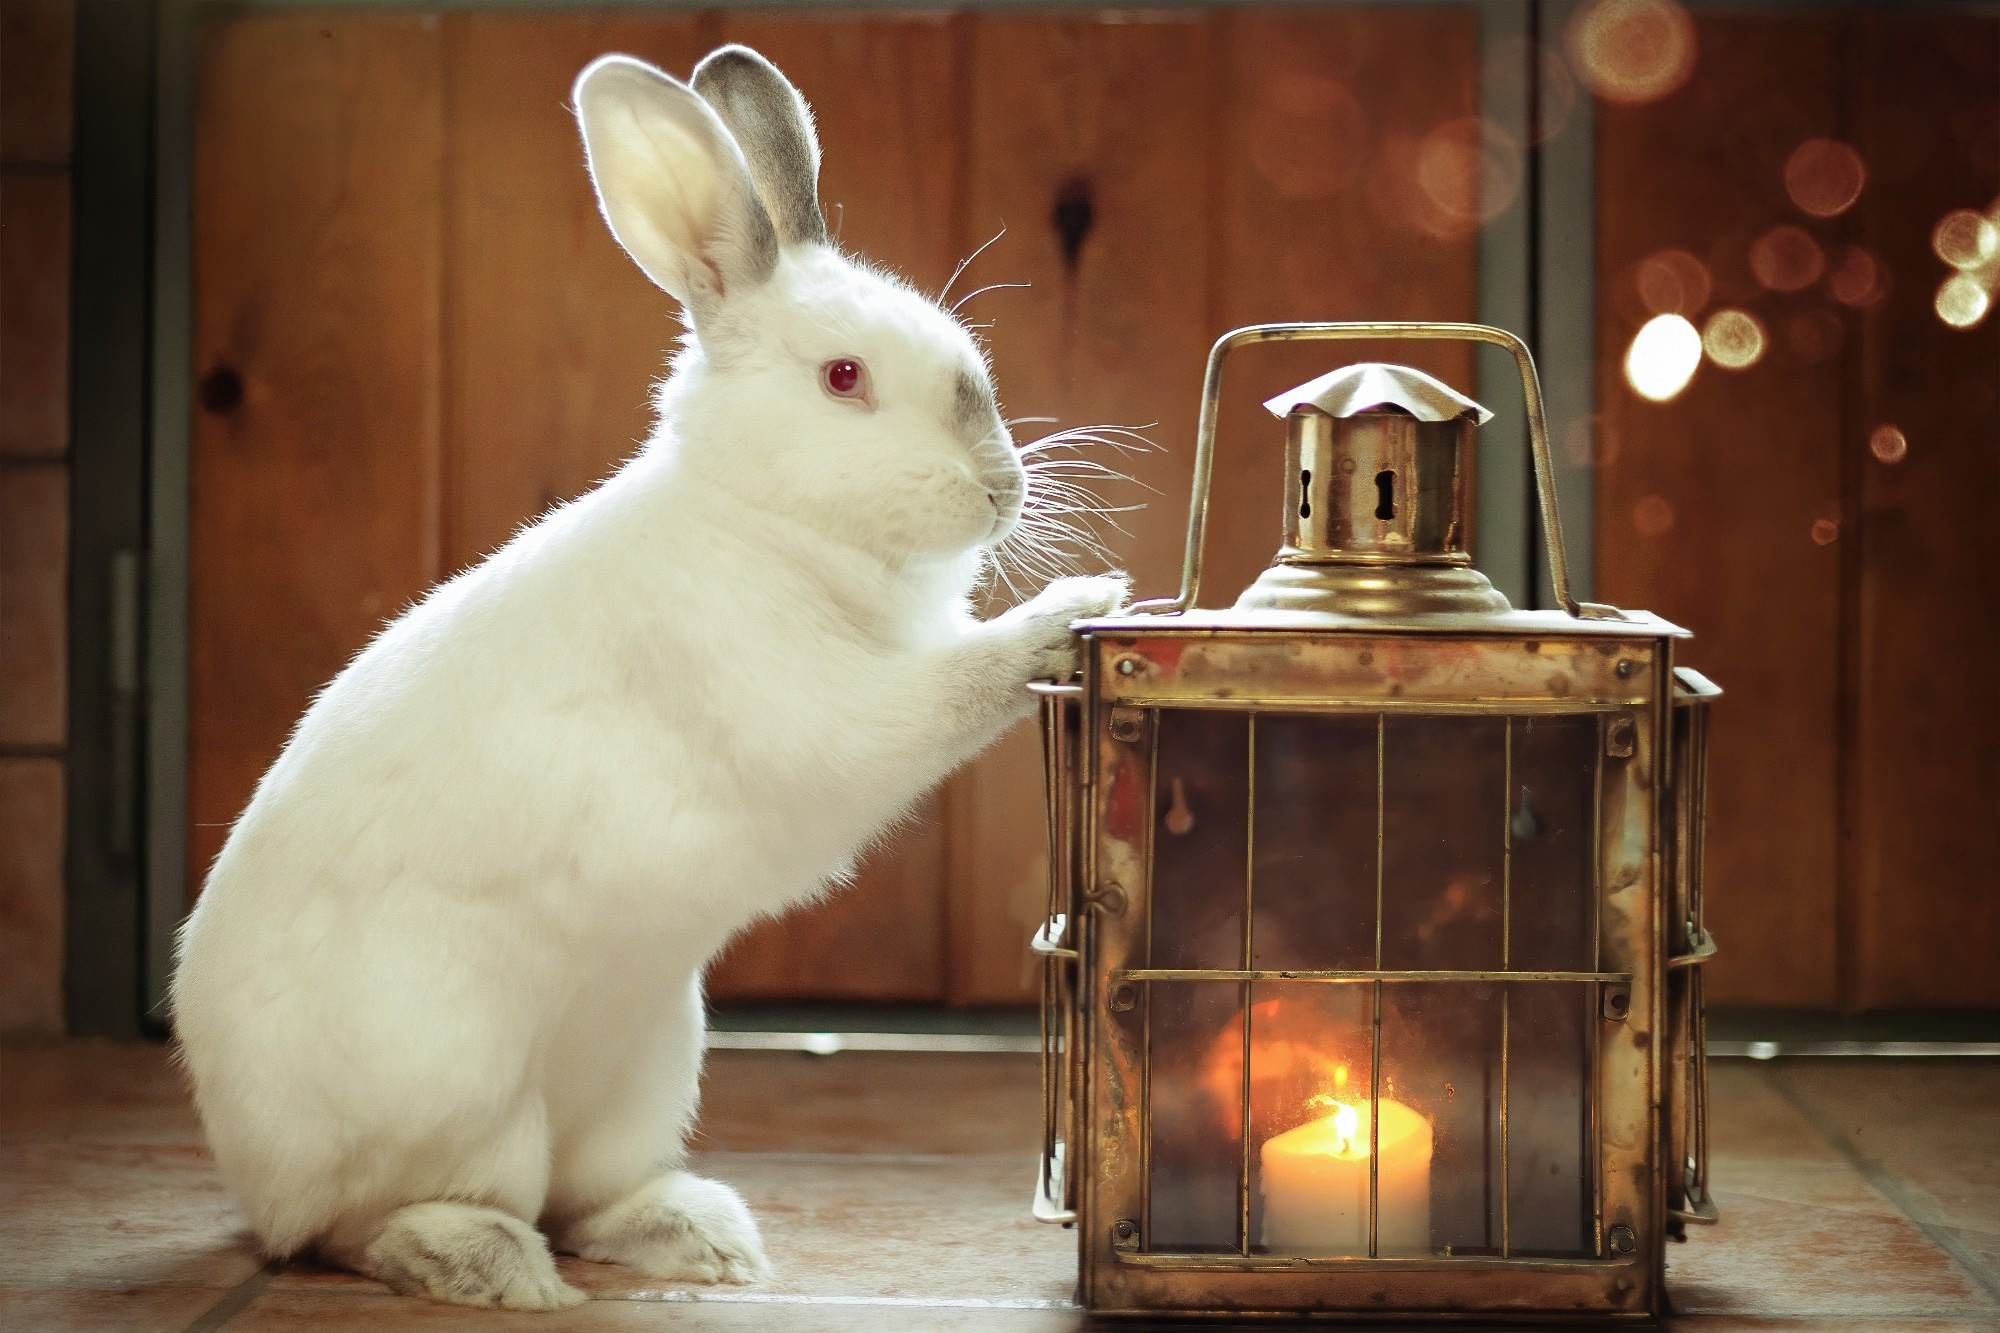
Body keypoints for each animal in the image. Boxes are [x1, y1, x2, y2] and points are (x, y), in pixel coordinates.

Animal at [172, 44, 1128, 1304]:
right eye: (842, 377)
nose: (1000, 489)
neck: (758, 520)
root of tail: (251, 1176)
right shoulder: (831, 711)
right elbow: (955, 687)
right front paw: (1078, 607)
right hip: (463, 1095)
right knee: (362, 1228)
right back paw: (492, 1266)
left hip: (649, 1059)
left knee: (583, 1197)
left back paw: (701, 1237)